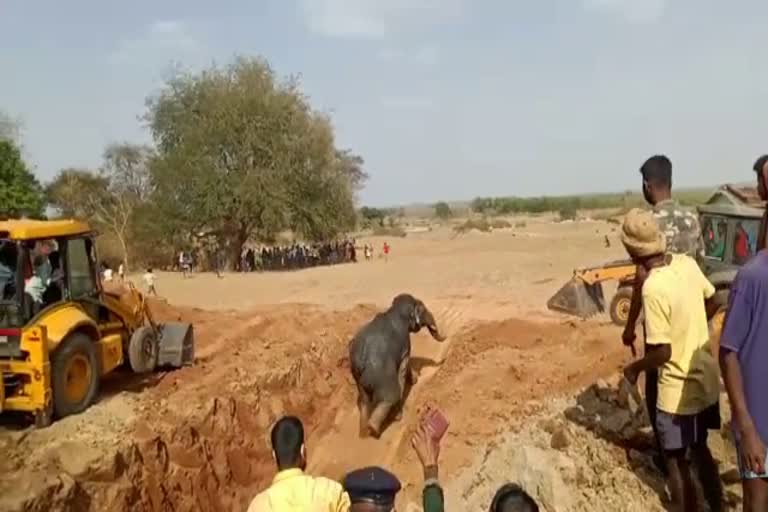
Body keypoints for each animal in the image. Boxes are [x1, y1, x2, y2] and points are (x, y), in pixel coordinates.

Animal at [346, 294, 444, 438]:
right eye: (423, 309)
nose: (446, 336)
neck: (393, 310)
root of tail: (360, 362)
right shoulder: (404, 344)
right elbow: (403, 366)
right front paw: (414, 381)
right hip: (380, 376)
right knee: (391, 395)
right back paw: (374, 428)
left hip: (358, 379)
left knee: (364, 402)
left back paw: (363, 431)